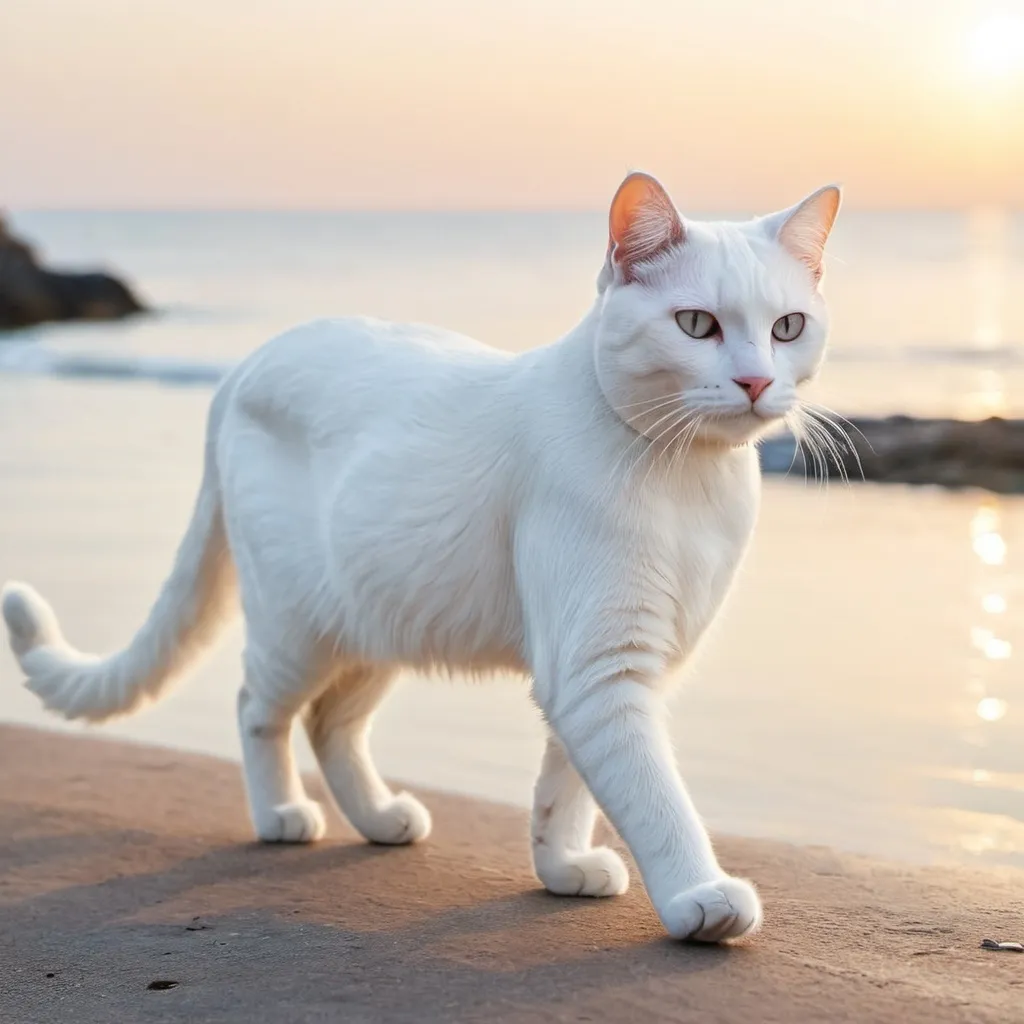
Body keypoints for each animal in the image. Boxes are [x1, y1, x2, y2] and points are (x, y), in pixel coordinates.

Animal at [2, 169, 839, 942]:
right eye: (696, 324)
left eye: (788, 327)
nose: (757, 380)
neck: (688, 479)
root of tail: (245, 364)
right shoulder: (601, 667)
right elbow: (656, 796)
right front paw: (700, 896)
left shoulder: (604, 668)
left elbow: (566, 785)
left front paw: (562, 865)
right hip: (297, 628)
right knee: (260, 710)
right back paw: (281, 813)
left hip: (381, 619)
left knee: (331, 725)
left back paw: (379, 818)